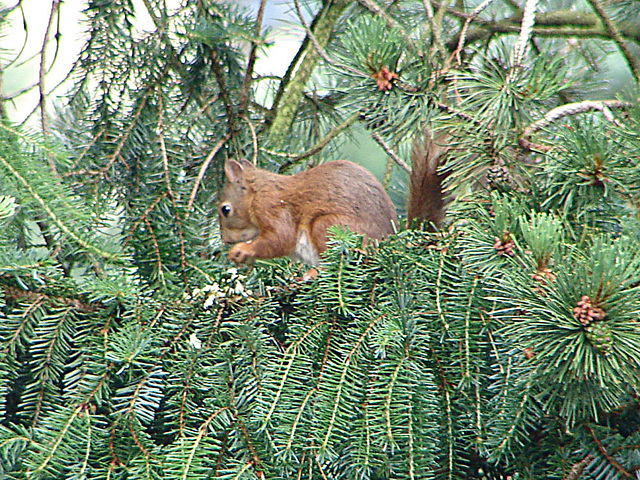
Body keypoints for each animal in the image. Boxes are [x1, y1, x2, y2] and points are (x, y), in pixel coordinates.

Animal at [218, 132, 448, 266]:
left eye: (225, 209)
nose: (226, 241)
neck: (258, 193)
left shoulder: (272, 208)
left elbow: (280, 238)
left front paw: (242, 250)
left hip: (328, 226)